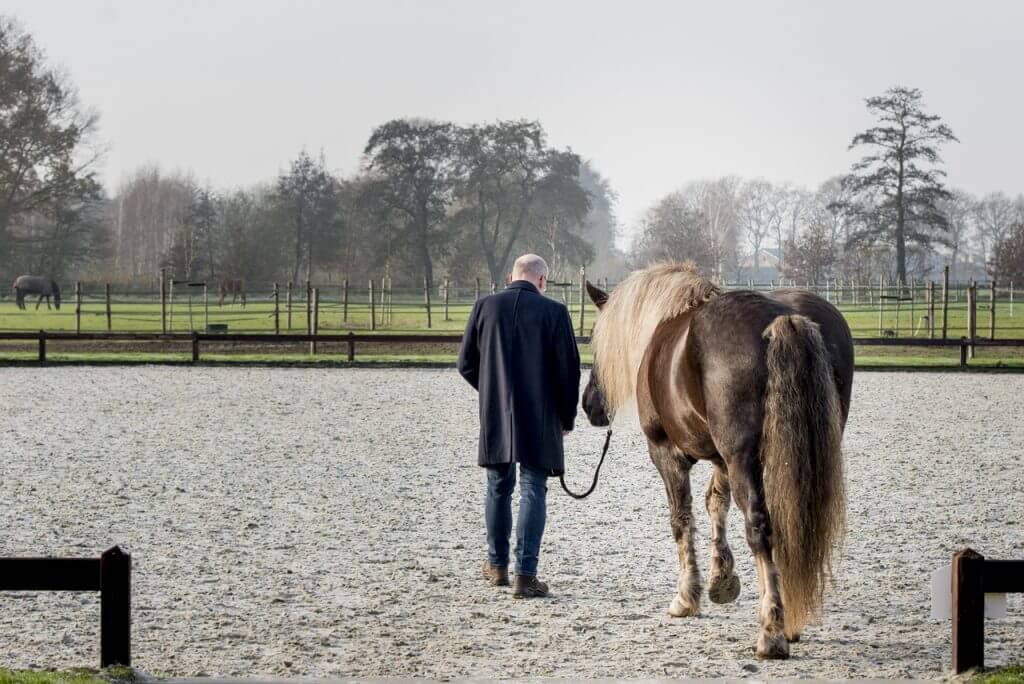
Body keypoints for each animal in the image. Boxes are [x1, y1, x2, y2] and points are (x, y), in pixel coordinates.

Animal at [581, 262, 851, 655]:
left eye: (595, 342)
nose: (588, 405)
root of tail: (781, 319)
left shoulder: (667, 453)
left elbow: (681, 519)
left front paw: (686, 596)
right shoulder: (724, 459)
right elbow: (715, 504)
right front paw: (722, 578)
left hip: (743, 460)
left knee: (760, 527)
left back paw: (772, 631)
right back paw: (790, 618)